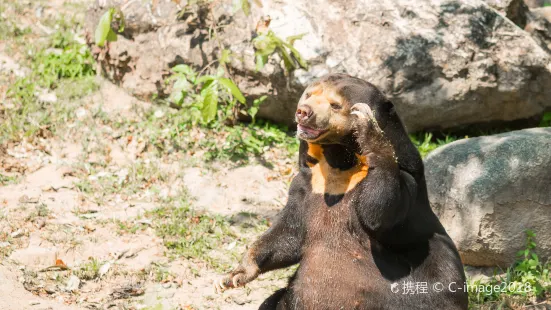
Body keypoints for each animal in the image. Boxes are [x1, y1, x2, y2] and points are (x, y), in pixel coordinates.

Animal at [213, 74, 468, 308]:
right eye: (308, 95)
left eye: (335, 105)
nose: (303, 112)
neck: (339, 165)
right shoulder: (306, 185)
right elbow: (287, 233)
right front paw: (233, 275)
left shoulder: (409, 179)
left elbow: (381, 211)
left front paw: (370, 130)